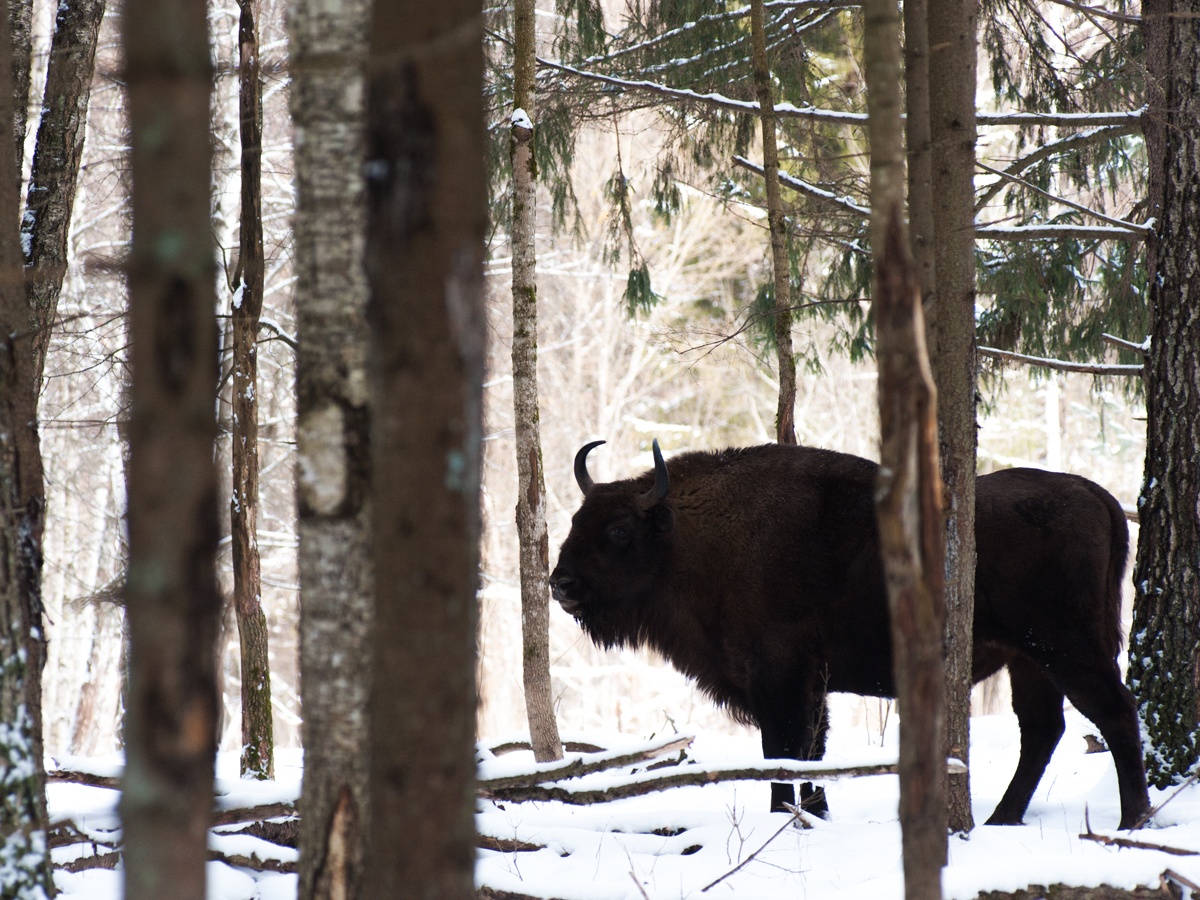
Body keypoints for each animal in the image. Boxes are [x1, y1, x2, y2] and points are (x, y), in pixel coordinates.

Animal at [552, 439, 1152, 830]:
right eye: (577, 522)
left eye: (619, 530)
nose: (560, 583)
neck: (689, 536)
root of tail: (1097, 496)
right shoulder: (808, 684)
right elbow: (812, 751)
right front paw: (814, 812)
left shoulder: (779, 680)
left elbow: (783, 751)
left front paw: (788, 815)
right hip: (1028, 659)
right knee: (1043, 730)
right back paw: (1003, 819)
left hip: (1065, 648)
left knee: (1114, 712)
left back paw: (1131, 820)